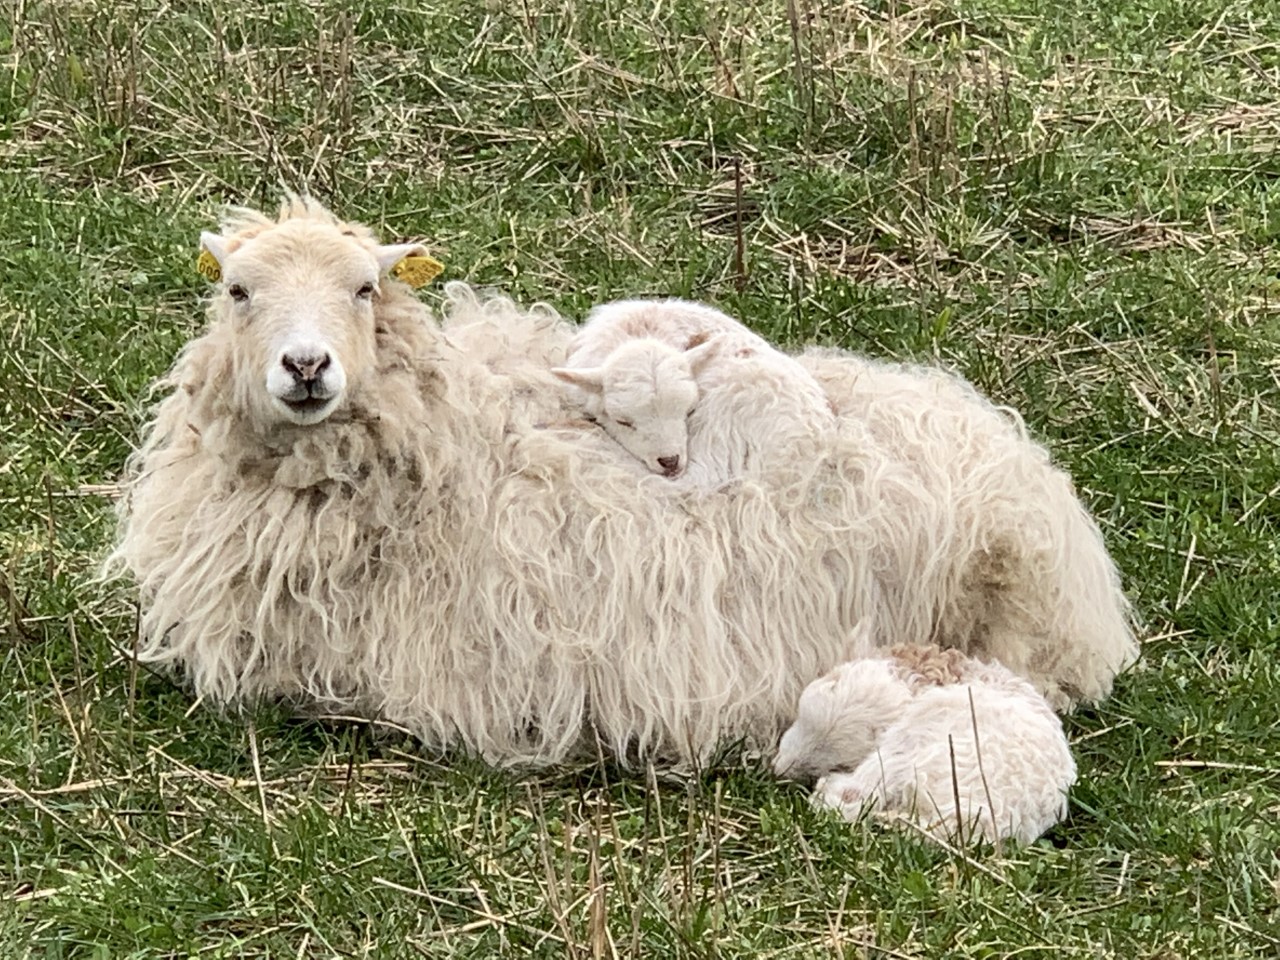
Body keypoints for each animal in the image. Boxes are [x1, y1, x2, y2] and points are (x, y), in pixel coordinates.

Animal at [768, 642, 1080, 844]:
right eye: (801, 715)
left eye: (841, 761)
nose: (779, 771)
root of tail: (970, 819)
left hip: (910, 748)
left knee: (854, 799)